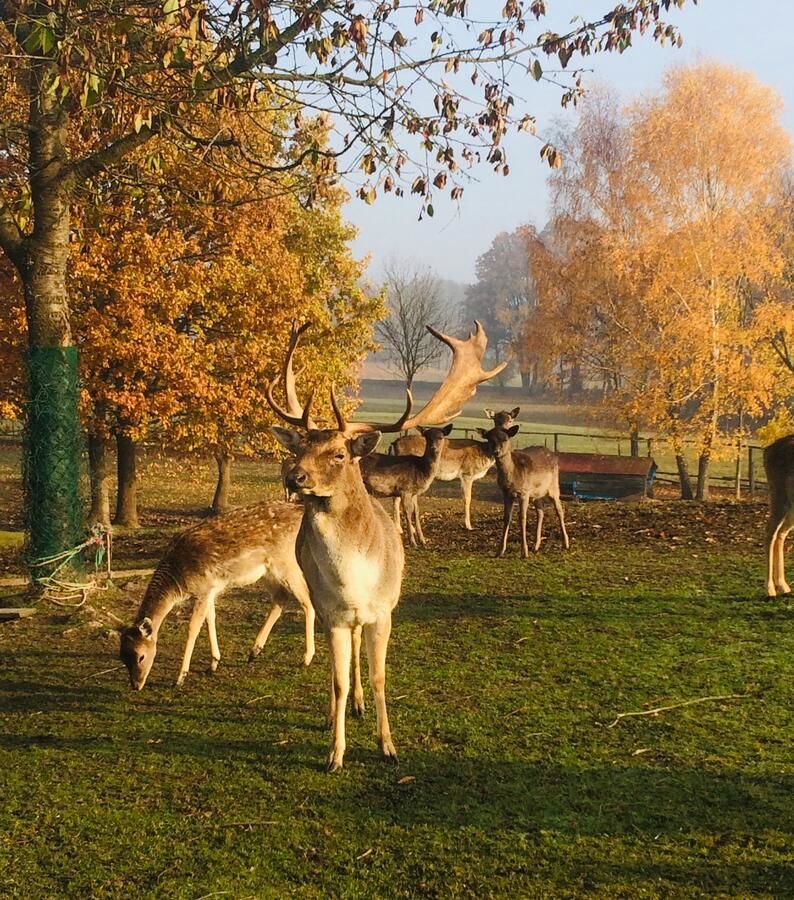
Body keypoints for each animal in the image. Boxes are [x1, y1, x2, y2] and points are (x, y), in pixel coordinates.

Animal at [119, 500, 314, 688]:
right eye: (123, 657)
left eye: (141, 656)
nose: (136, 685)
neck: (178, 579)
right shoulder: (211, 589)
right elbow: (210, 619)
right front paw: (213, 663)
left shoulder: (203, 588)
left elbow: (193, 628)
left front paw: (180, 678)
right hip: (267, 573)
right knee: (281, 598)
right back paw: (254, 651)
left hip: (287, 562)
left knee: (307, 601)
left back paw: (306, 659)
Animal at [266, 320, 502, 768]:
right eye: (300, 447)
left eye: (339, 454)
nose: (294, 476)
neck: (354, 581)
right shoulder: (334, 614)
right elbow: (338, 680)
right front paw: (335, 752)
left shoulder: (384, 610)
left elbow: (379, 676)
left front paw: (388, 745)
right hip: (323, 607)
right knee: (339, 664)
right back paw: (338, 712)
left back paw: (361, 707)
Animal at [388, 406, 520, 528]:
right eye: (496, 420)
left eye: (510, 420)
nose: (503, 432)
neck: (485, 454)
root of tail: (394, 443)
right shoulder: (467, 472)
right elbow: (467, 498)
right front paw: (469, 525)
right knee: (396, 498)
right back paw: (399, 528)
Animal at [476, 426, 568, 560]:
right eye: (490, 439)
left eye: (505, 438)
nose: (496, 452)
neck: (512, 476)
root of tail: (554, 455)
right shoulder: (506, 493)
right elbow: (506, 518)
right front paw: (499, 551)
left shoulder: (524, 492)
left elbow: (522, 518)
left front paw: (524, 552)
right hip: (536, 493)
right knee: (541, 512)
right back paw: (536, 546)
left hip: (554, 486)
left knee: (559, 510)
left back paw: (565, 544)